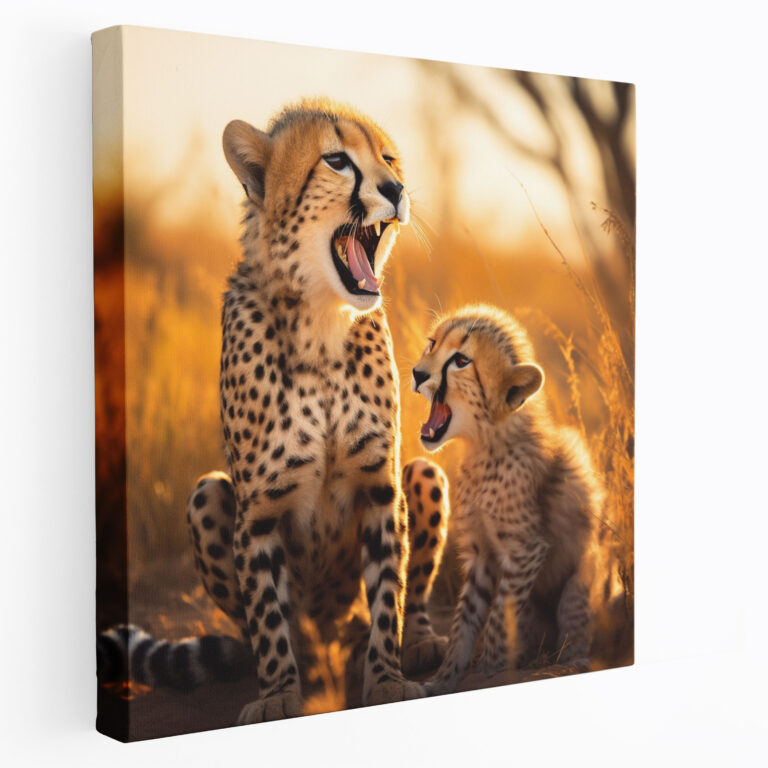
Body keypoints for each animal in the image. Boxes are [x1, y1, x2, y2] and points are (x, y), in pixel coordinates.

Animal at [185, 99, 450, 724]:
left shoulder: (381, 487)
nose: (397, 189)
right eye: (336, 161)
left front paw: (386, 679)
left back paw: (421, 642)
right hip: (207, 493)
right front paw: (280, 693)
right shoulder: (257, 513)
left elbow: (390, 592)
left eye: (388, 158)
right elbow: (266, 614)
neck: (323, 327)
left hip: (423, 472)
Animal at [409, 304, 603, 696]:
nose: (417, 374)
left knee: (574, 633)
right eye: (432, 344)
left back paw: (568, 661)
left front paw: (489, 671)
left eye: (461, 360)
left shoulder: (525, 550)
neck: (484, 445)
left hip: (579, 583)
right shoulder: (481, 554)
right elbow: (465, 621)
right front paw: (445, 679)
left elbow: (499, 616)